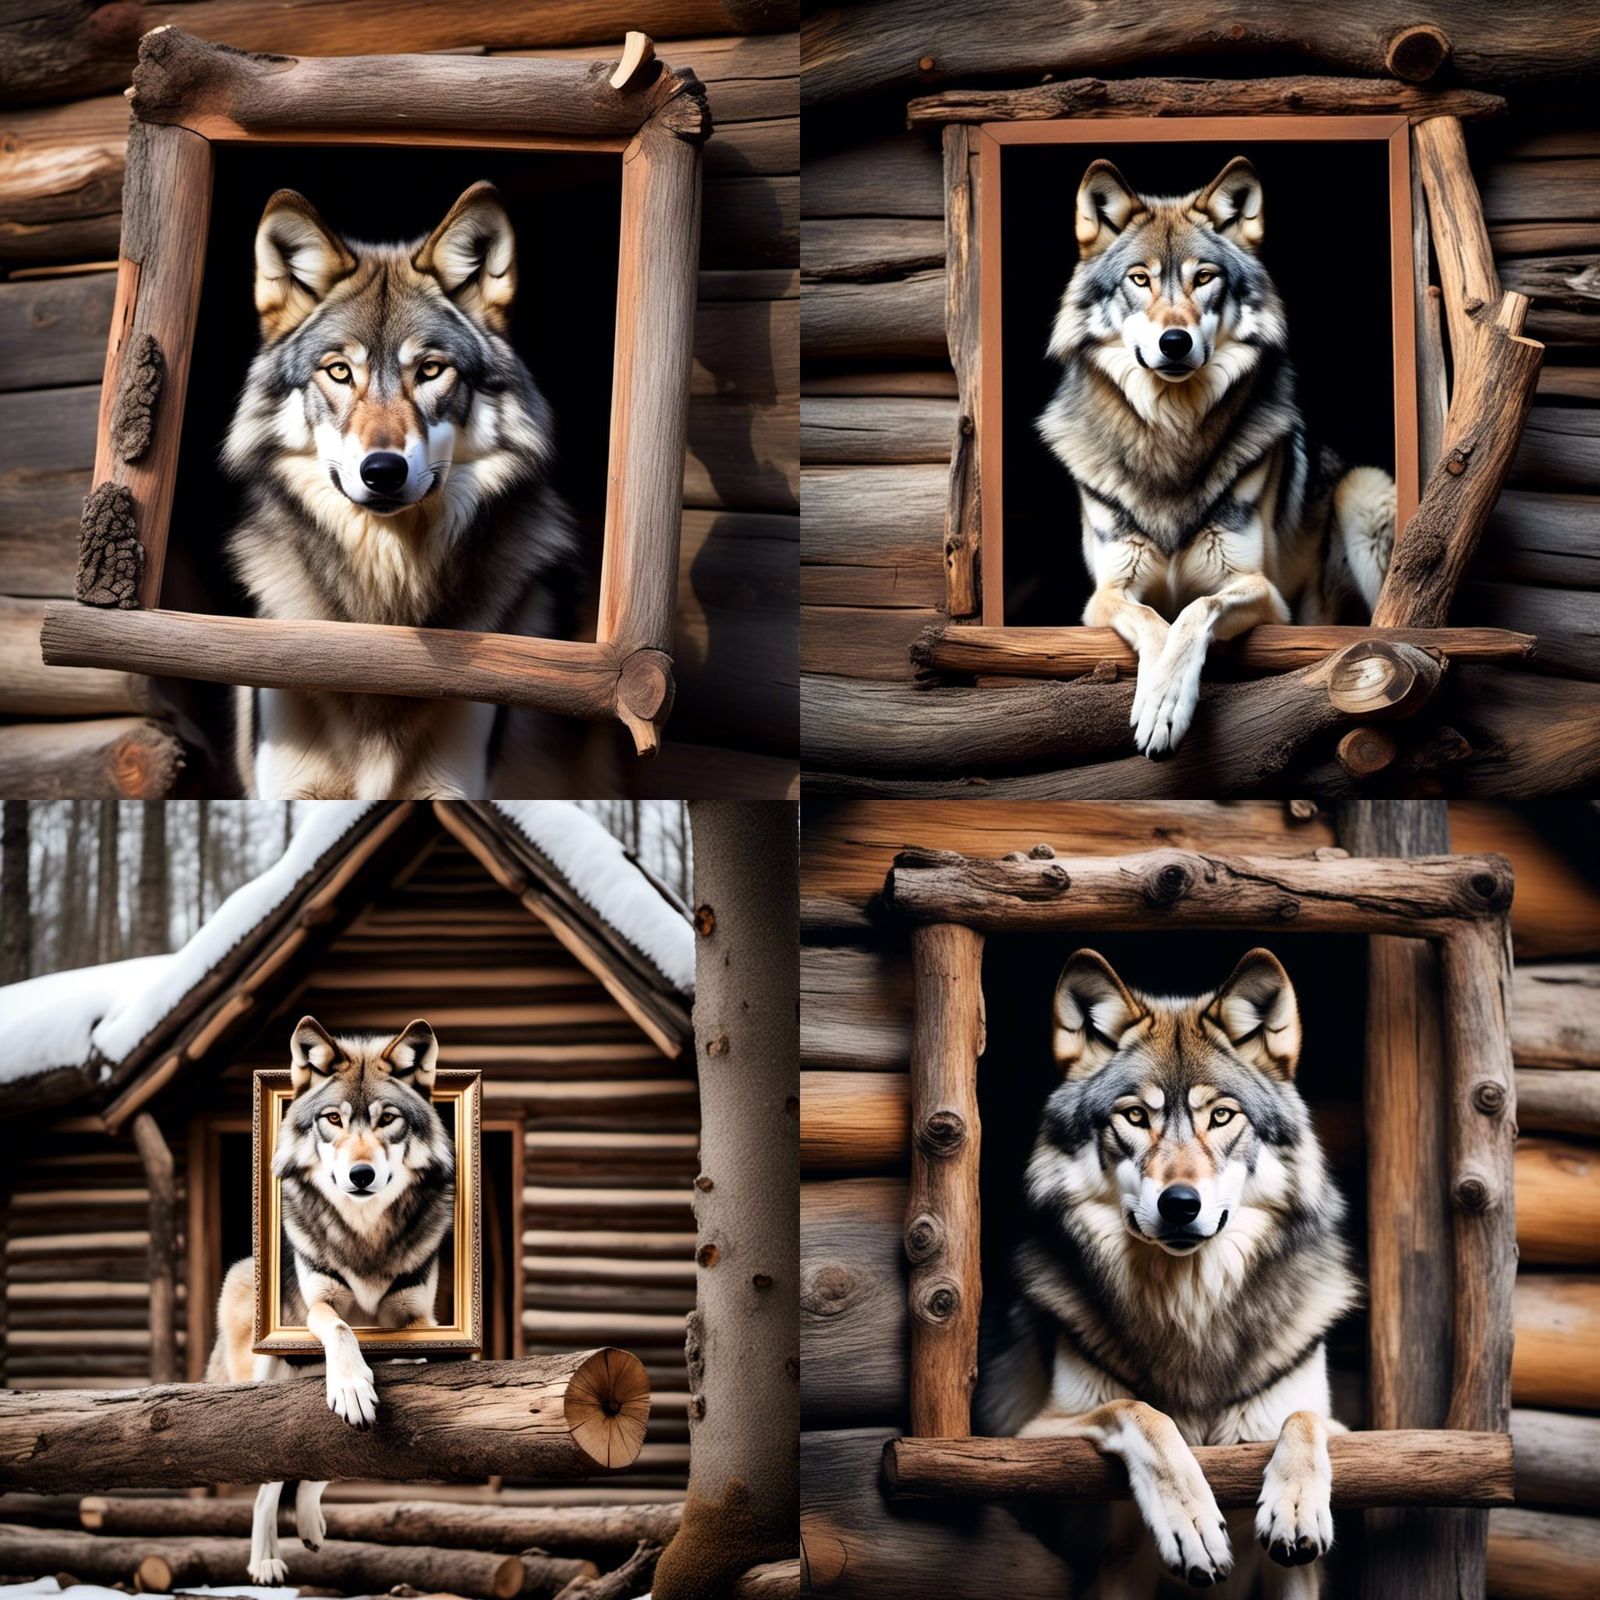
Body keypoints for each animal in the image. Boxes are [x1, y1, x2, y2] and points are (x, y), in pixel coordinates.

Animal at [208, 1016, 455, 1583]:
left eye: (388, 1119)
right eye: (333, 1119)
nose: (360, 1176)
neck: (364, 1236)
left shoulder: (418, 1320)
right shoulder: (321, 1306)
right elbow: (342, 1329)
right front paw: (350, 1384)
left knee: (314, 1468)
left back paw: (310, 1528)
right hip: (263, 1378)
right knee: (265, 1484)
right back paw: (264, 1564)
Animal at [978, 948, 1358, 1596]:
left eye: (1222, 1116)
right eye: (1134, 1116)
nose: (1180, 1203)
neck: (1189, 1308)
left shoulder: (1356, 1442)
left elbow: (1304, 1418)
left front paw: (1295, 1508)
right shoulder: (1029, 1444)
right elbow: (1141, 1413)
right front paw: (1193, 1525)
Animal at [1037, 157, 1397, 757]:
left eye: (1204, 278)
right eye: (1139, 279)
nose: (1175, 342)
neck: (1171, 437)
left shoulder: (1263, 593)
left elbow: (1193, 610)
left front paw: (1164, 701)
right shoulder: (1104, 596)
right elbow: (1154, 618)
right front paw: (1157, 699)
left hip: (1363, 492)